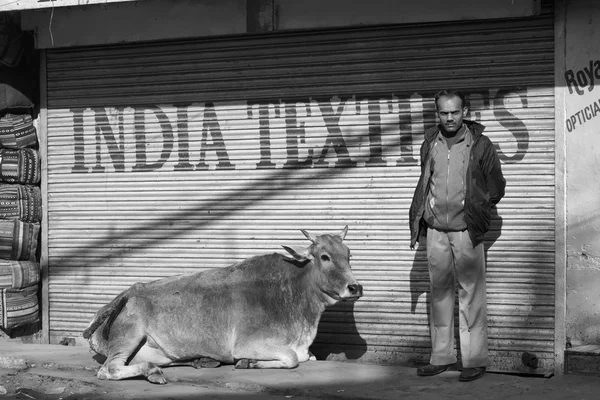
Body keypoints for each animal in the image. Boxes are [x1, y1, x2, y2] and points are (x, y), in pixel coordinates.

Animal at [82, 227, 364, 382]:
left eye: (349, 255)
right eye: (325, 257)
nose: (355, 287)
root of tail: (129, 292)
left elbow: (308, 357)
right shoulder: (248, 344)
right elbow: (292, 359)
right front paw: (248, 363)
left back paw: (201, 361)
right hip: (129, 336)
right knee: (109, 370)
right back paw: (153, 372)